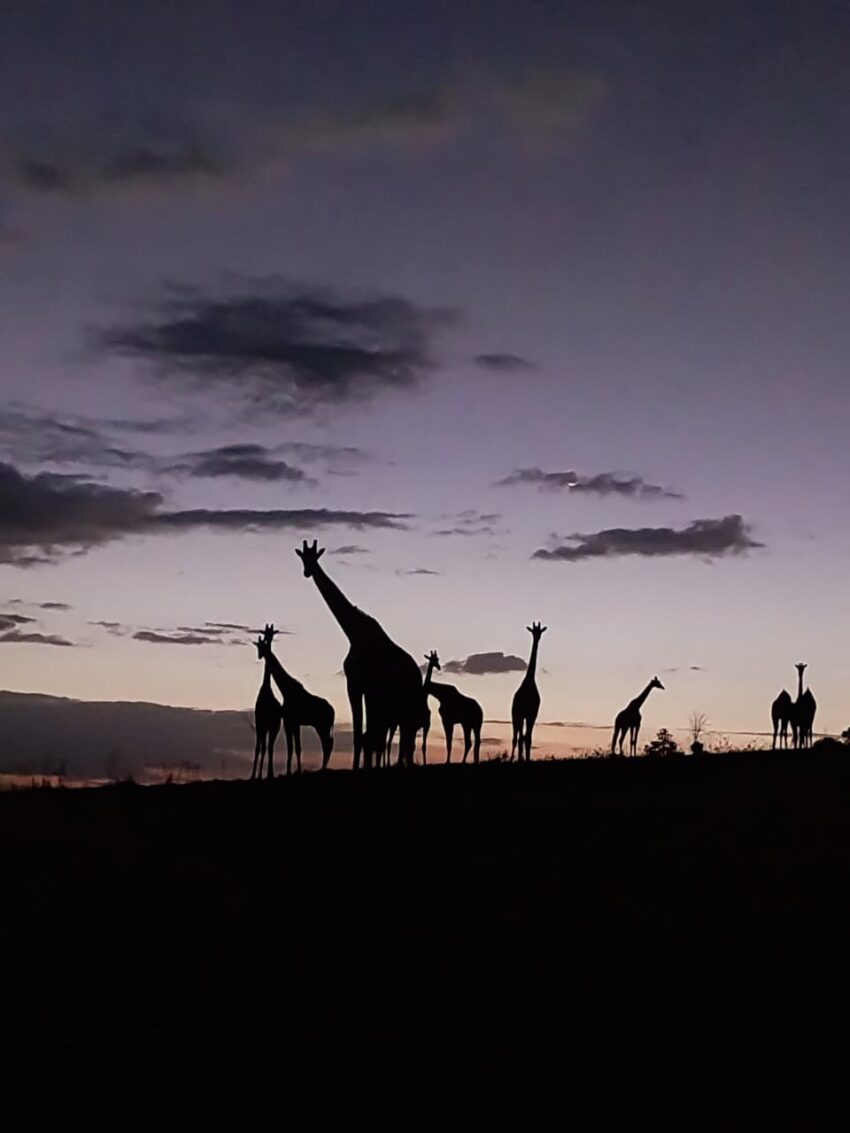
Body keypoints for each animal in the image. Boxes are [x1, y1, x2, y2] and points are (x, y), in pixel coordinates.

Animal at [258, 624, 335, 772]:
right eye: (260, 645)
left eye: (264, 645)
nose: (260, 655)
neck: (285, 690)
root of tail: (333, 712)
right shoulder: (293, 722)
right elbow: (294, 748)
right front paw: (293, 770)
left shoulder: (290, 721)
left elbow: (293, 748)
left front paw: (292, 771)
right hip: (323, 726)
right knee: (328, 743)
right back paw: (323, 767)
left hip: (322, 725)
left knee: (327, 743)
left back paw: (323, 768)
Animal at [296, 540, 423, 769]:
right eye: (303, 557)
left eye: (315, 557)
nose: (307, 571)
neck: (354, 633)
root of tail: (418, 674)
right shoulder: (361, 687)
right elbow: (363, 735)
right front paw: (361, 767)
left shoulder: (361, 686)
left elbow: (365, 736)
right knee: (404, 738)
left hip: (403, 703)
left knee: (406, 738)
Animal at [511, 623, 546, 762]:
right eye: (533, 632)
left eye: (540, 632)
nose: (537, 637)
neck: (530, 681)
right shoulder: (522, 714)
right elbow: (522, 738)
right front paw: (521, 758)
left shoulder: (532, 715)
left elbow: (528, 739)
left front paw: (526, 759)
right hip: (515, 715)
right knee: (515, 738)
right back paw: (512, 758)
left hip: (522, 716)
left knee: (521, 737)